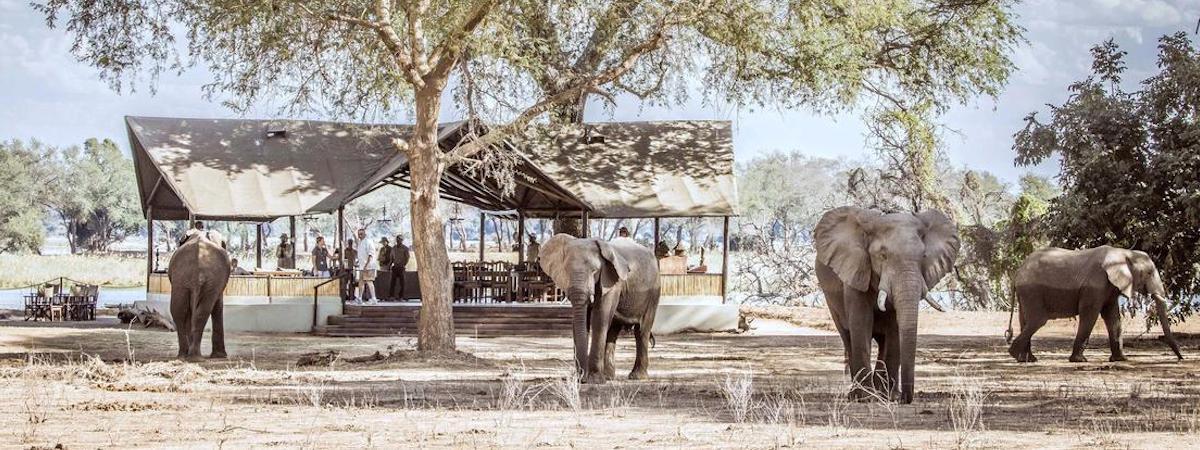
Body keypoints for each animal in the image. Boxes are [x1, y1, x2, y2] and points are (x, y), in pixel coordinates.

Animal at [170, 230, 232, 362]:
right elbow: (218, 305)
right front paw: (220, 356)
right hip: (208, 280)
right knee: (203, 311)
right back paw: (194, 357)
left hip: (182, 280)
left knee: (178, 310)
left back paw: (184, 355)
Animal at [540, 232, 662, 384]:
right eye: (566, 271)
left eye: (595, 271)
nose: (582, 378)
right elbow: (580, 321)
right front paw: (585, 378)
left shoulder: (612, 281)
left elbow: (599, 317)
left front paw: (595, 380)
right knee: (613, 330)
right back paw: (609, 376)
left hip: (654, 291)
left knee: (642, 330)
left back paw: (637, 377)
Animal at [811, 207, 960, 405]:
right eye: (883, 256)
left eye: (923, 256)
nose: (905, 399)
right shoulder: (856, 273)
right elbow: (861, 324)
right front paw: (866, 397)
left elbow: (895, 329)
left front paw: (889, 396)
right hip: (831, 300)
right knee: (847, 337)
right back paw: (856, 394)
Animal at [1008, 244, 1185, 364]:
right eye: (1148, 273)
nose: (1181, 358)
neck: (1124, 252)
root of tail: (1018, 271)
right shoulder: (1095, 285)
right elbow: (1090, 314)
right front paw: (1080, 360)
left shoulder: (1110, 287)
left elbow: (1112, 316)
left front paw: (1120, 359)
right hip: (1032, 291)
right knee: (1038, 320)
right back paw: (1015, 354)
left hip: (1026, 293)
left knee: (1025, 320)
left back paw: (1028, 359)